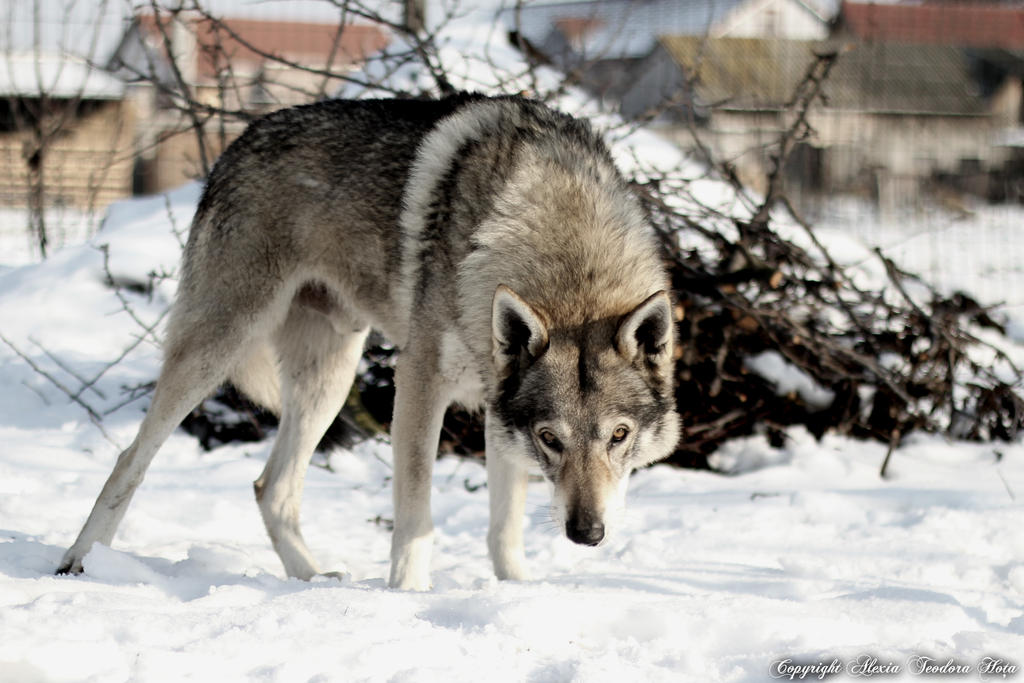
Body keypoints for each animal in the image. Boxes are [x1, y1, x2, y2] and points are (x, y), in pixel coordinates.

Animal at [56, 93, 679, 589]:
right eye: (551, 438)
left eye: (619, 436)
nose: (588, 533)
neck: (565, 250)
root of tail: (240, 140)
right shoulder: (421, 383)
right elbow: (416, 515)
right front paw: (408, 596)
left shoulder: (498, 409)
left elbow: (503, 528)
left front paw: (516, 593)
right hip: (220, 347)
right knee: (131, 459)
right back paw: (78, 561)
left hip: (329, 380)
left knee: (270, 488)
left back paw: (312, 581)